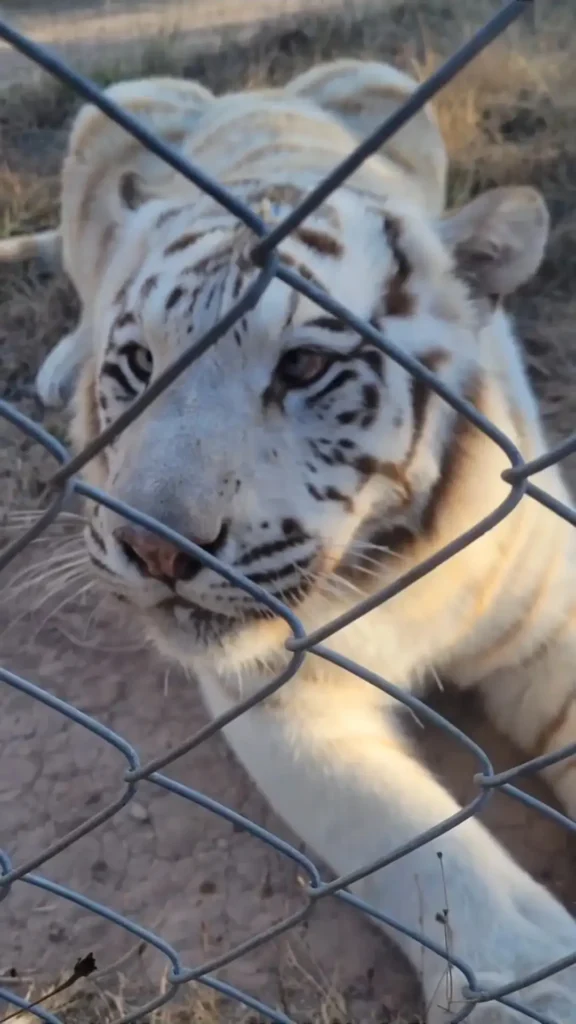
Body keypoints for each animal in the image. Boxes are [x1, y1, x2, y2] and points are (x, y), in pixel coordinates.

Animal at [3, 58, 576, 1022]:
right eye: (138, 368)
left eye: (303, 367)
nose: (157, 549)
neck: (393, 560)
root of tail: (252, 93)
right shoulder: (286, 695)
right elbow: (415, 845)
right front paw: (528, 984)